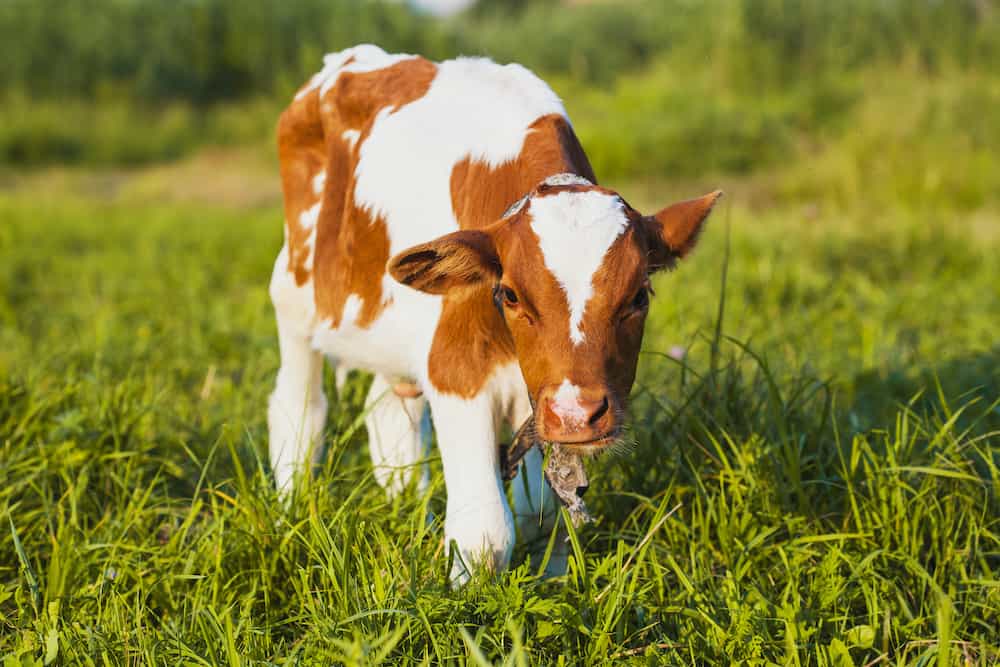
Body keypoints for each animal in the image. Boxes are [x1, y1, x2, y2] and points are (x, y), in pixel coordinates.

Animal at [266, 44, 720, 580]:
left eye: (639, 296)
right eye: (510, 295)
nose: (577, 414)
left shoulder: (536, 394)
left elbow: (537, 515)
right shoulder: (456, 368)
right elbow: (485, 534)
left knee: (389, 410)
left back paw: (407, 507)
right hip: (293, 298)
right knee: (300, 408)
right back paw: (291, 506)